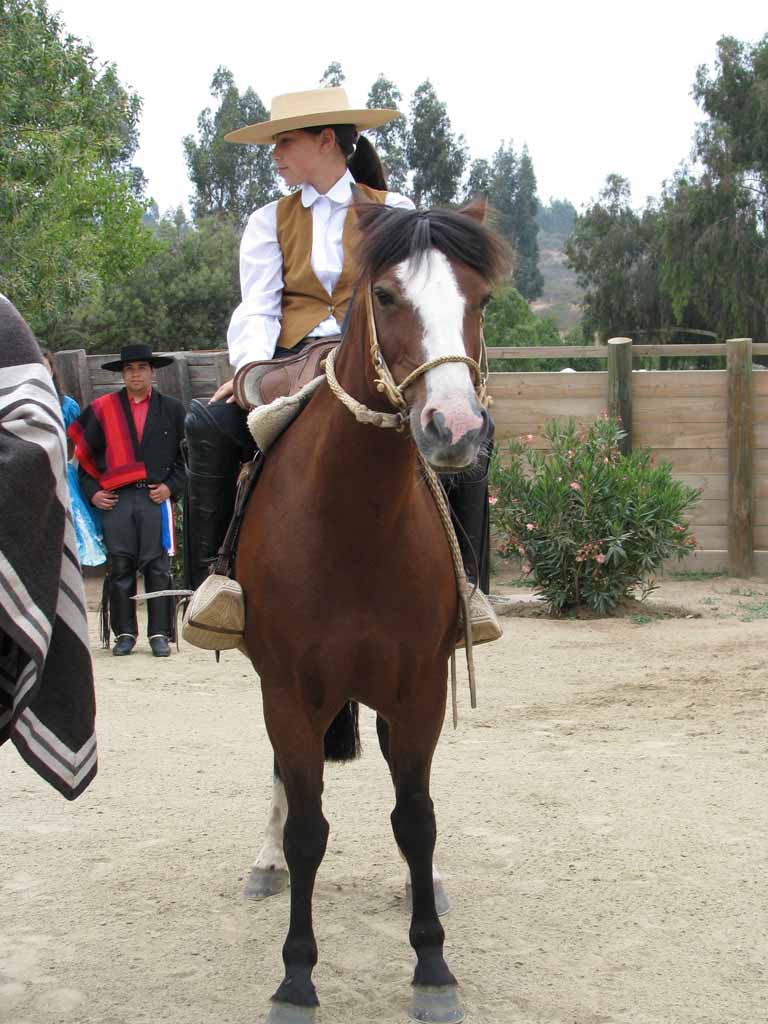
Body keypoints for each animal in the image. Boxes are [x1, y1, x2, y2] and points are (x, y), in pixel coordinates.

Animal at [237, 201, 507, 1024]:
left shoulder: (417, 690)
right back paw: (263, 861)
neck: (352, 521)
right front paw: (296, 978)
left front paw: (433, 969)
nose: (456, 429)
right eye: (386, 296)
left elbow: (416, 821)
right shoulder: (288, 692)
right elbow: (307, 829)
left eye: (481, 300)